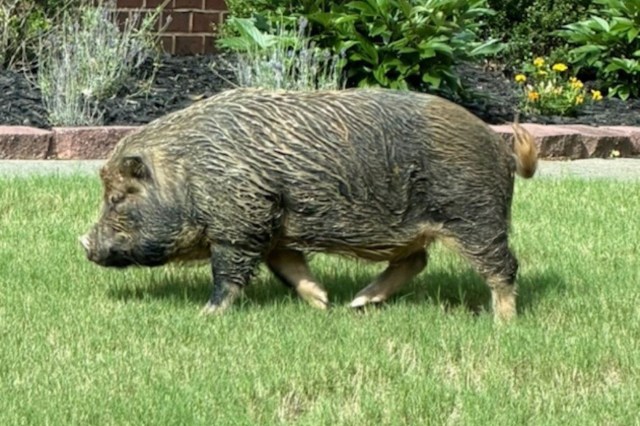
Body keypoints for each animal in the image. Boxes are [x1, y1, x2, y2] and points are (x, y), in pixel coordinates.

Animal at [80, 87, 537, 322]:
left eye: (118, 198)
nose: (84, 243)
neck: (190, 173)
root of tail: (499, 146)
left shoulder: (240, 224)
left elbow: (227, 274)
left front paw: (205, 316)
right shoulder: (272, 229)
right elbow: (289, 268)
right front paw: (322, 303)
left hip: (475, 216)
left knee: (503, 268)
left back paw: (502, 324)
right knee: (416, 260)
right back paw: (357, 304)